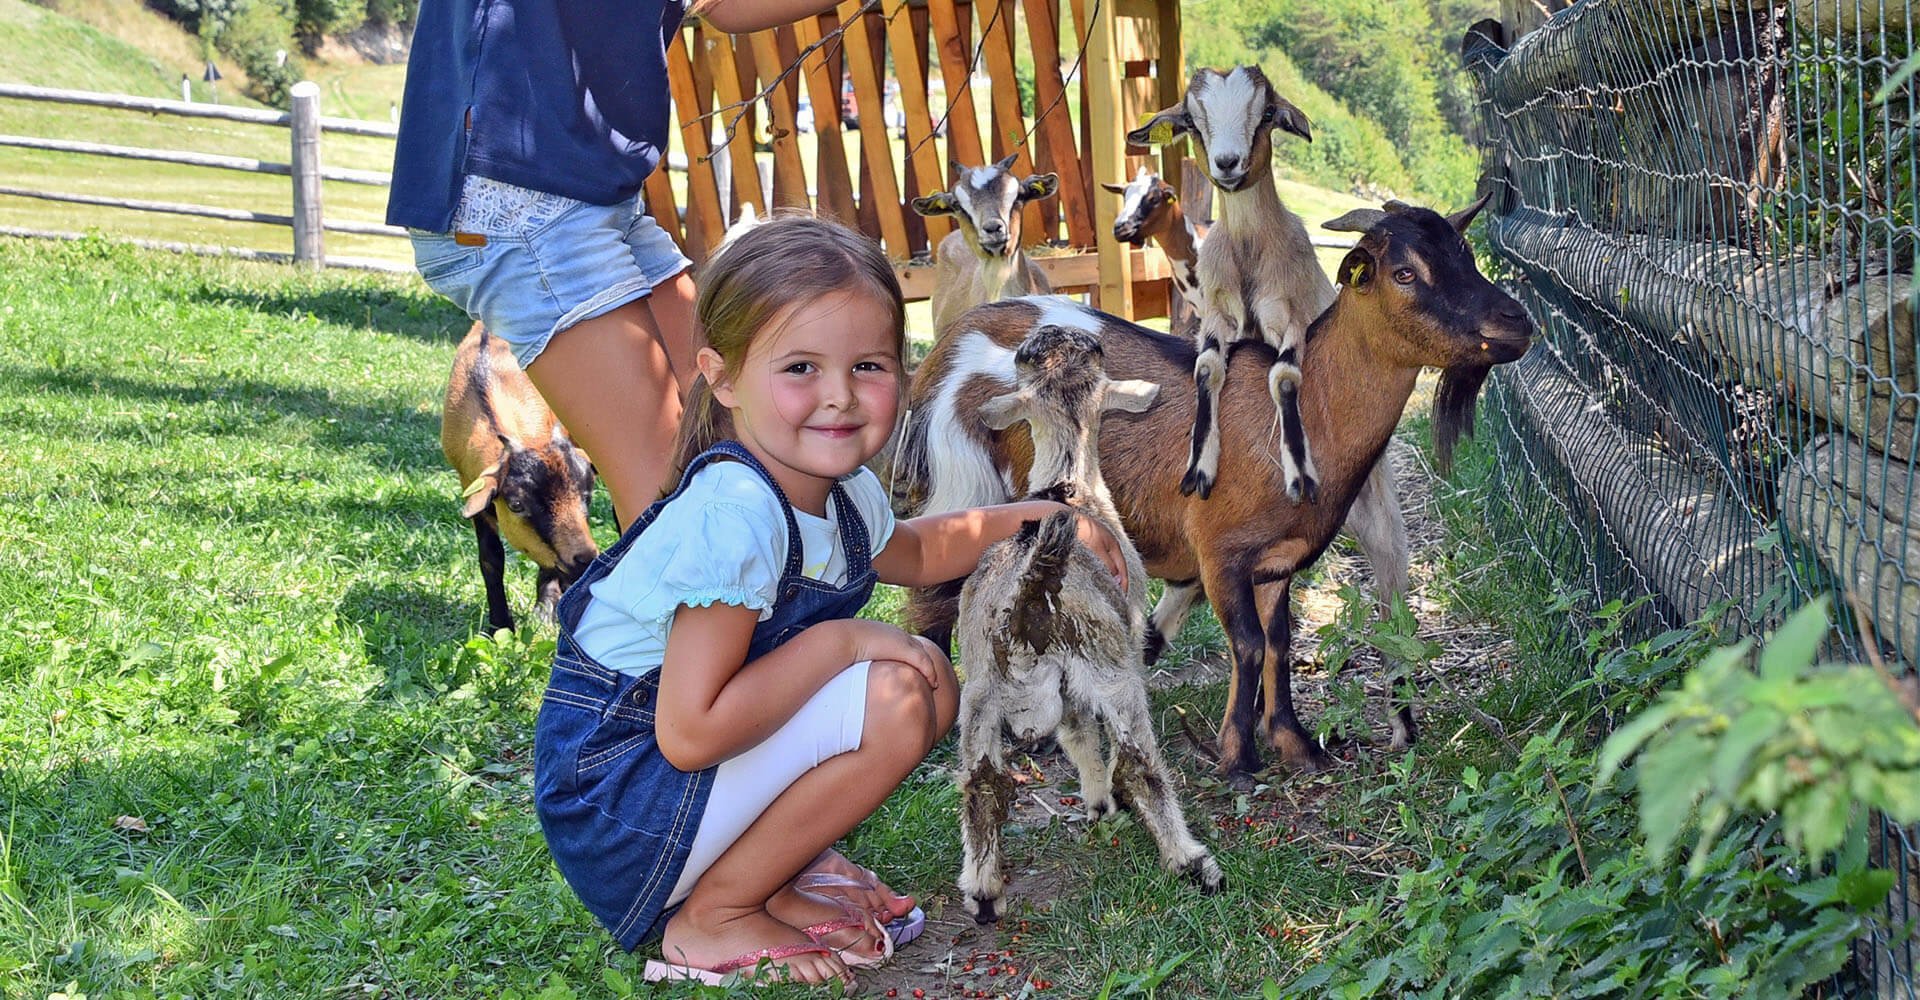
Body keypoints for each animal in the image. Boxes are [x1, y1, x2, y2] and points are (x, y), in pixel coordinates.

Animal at [441, 324, 599, 629]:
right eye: (516, 504)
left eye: (587, 496)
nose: (585, 558)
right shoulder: (471, 486)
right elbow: (491, 557)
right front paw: (500, 626)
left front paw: (548, 608)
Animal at [890, 198, 1536, 783]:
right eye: (1404, 272)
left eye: (1466, 253)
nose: (1517, 323)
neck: (1308, 413)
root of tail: (948, 345)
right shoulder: (1219, 550)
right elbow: (1247, 643)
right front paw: (1238, 757)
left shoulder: (1276, 563)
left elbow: (1277, 643)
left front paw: (1296, 744)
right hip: (965, 481)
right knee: (935, 601)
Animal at [952, 326, 1221, 921]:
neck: (1068, 484)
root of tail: (1031, 593)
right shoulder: (1108, 657)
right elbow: (1092, 739)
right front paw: (1106, 802)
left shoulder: (1064, 686)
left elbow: (1076, 734)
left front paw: (1096, 804)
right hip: (1109, 668)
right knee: (1139, 764)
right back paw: (1191, 860)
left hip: (979, 694)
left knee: (982, 784)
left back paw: (982, 890)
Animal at [1128, 66, 1328, 502]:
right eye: (1190, 120)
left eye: (1267, 113)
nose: (1227, 163)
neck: (1249, 250)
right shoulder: (1217, 316)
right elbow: (1205, 369)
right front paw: (1198, 468)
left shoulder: (1293, 317)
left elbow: (1284, 377)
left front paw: (1301, 475)